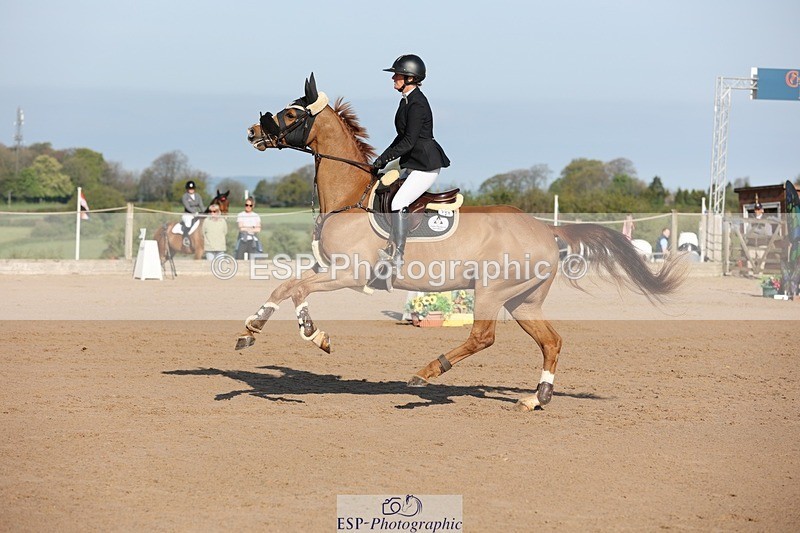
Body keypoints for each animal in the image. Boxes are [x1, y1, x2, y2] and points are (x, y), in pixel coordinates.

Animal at [237, 74, 685, 411]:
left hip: (491, 290)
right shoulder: (326, 268)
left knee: (483, 337)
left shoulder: (349, 274)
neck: (352, 197)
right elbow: (286, 285)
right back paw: (536, 398)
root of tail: (545, 228)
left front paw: (315, 335)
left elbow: (299, 290)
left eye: (291, 113)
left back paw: (426, 373)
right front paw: (251, 330)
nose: (253, 131)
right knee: (551, 340)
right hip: (522, 300)